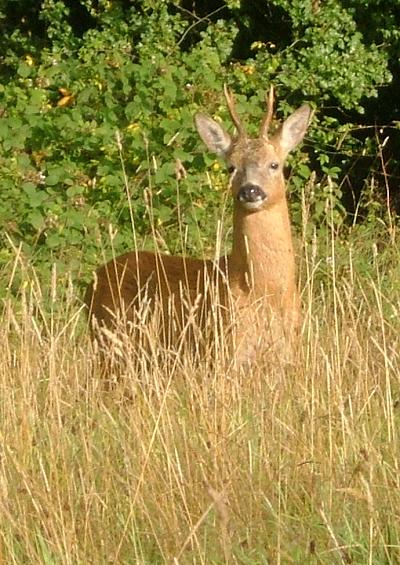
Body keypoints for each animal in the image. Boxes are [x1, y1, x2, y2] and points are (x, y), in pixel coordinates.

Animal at [83, 84, 310, 366]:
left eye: (274, 164)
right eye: (231, 167)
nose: (250, 190)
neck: (264, 291)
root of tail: (93, 281)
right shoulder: (224, 351)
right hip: (109, 346)